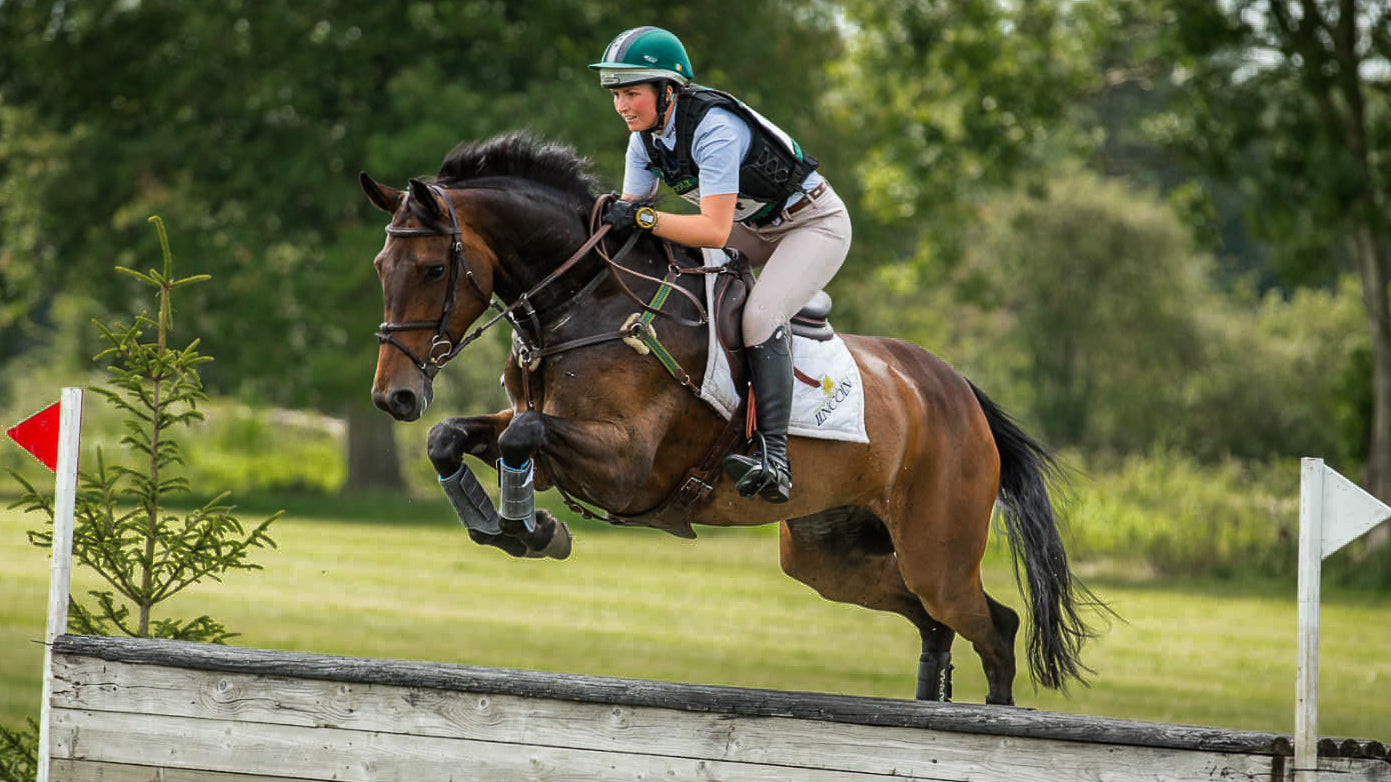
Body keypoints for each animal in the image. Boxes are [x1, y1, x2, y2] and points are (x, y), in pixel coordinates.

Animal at [364, 130, 1101, 704]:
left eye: (432, 270)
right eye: (380, 266)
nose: (393, 397)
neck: (585, 301)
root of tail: (955, 392)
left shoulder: (626, 465)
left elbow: (524, 434)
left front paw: (529, 529)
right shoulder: (546, 437)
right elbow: (452, 438)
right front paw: (512, 526)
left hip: (935, 551)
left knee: (992, 628)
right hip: (828, 556)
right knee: (933, 623)